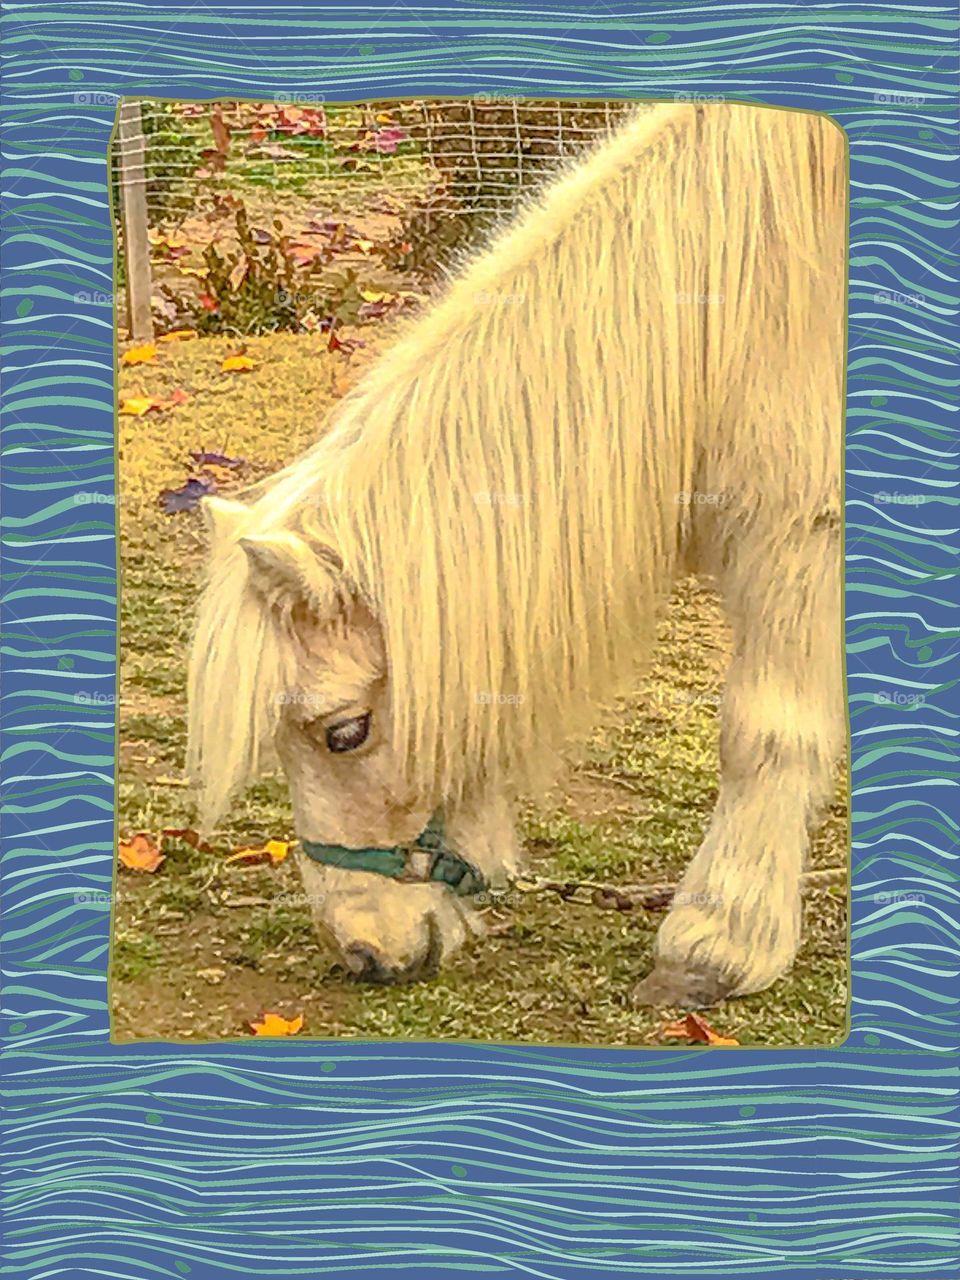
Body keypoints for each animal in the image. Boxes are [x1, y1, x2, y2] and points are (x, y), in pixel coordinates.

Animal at [187, 101, 847, 1007]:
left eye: (345, 732)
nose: (364, 953)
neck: (743, 304)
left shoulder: (798, 538)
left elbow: (766, 730)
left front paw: (717, 943)